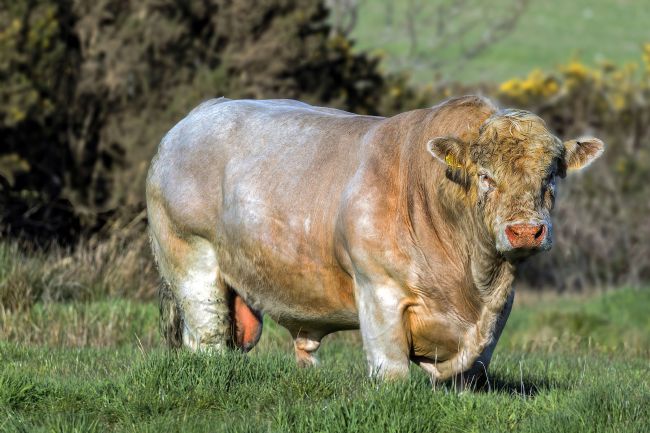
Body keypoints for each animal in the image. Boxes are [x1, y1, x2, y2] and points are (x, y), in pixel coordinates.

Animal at [146, 96, 603, 384]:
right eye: (486, 177)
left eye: (551, 176)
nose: (525, 230)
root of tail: (197, 115)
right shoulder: (379, 291)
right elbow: (392, 372)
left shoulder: (497, 311)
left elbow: (469, 372)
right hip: (192, 261)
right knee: (207, 338)